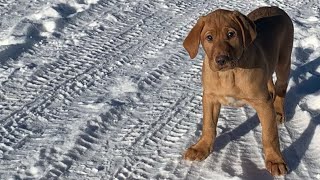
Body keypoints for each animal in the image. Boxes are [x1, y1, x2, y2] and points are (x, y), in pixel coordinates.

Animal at [182, 5, 292, 176]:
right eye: (209, 37)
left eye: (231, 34)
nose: (221, 60)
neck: (229, 74)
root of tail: (274, 7)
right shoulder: (210, 97)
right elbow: (208, 125)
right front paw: (201, 148)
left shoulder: (263, 103)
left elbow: (270, 135)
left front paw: (275, 161)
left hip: (283, 63)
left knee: (281, 88)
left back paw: (279, 112)